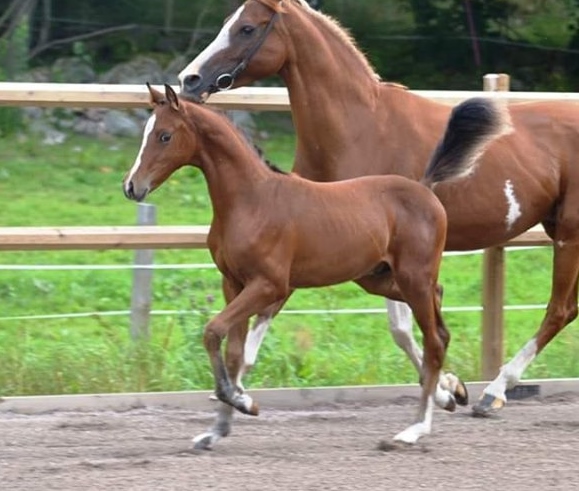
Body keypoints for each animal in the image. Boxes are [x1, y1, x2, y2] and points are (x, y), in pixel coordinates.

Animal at [123, 85, 512, 450]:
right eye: (146, 132)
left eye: (164, 135)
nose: (131, 187)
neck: (251, 200)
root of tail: (425, 188)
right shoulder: (233, 284)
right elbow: (233, 352)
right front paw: (218, 429)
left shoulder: (269, 285)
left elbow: (213, 331)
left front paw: (241, 401)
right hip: (381, 278)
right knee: (440, 319)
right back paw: (449, 394)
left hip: (412, 278)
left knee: (433, 342)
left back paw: (413, 430)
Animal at [178, 0, 579, 418]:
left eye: (247, 28)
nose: (189, 79)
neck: (358, 127)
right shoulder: (308, 245)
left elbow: (402, 329)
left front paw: (445, 391)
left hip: (569, 234)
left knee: (559, 309)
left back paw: (494, 391)